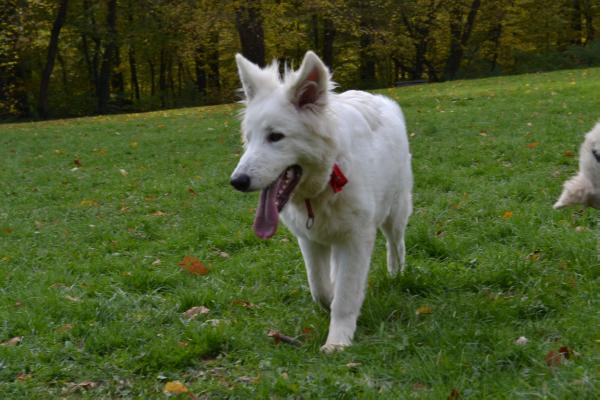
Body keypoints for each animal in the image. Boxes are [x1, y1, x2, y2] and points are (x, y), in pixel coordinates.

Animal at [230, 50, 412, 354]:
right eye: (248, 138)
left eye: (275, 137)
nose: (237, 181)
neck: (323, 185)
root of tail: (379, 99)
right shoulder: (310, 240)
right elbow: (321, 289)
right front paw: (331, 302)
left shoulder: (356, 239)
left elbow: (346, 296)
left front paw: (337, 342)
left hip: (394, 214)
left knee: (396, 244)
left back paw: (397, 273)